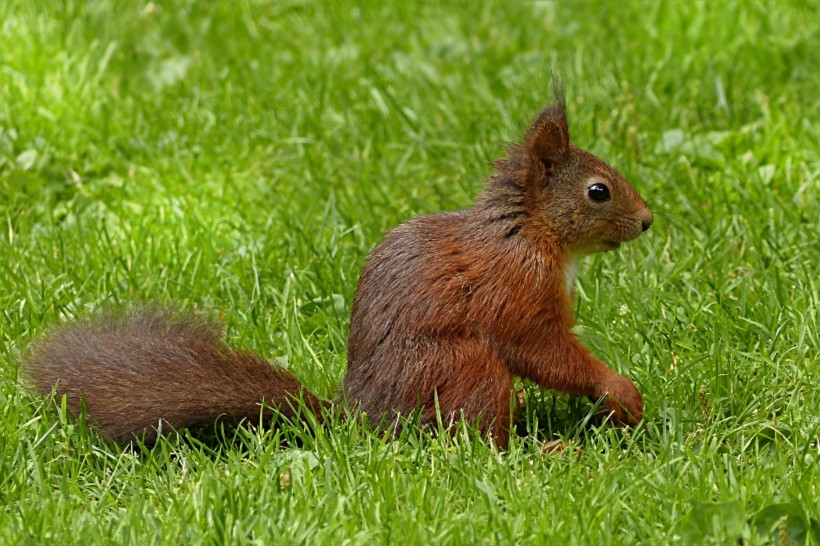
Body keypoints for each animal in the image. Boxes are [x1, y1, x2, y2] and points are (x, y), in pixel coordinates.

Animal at [24, 86, 652, 446]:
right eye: (599, 191)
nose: (647, 221)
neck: (531, 233)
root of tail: (361, 420)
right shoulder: (516, 291)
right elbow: (541, 350)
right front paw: (616, 389)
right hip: (461, 367)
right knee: (472, 440)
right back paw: (538, 449)